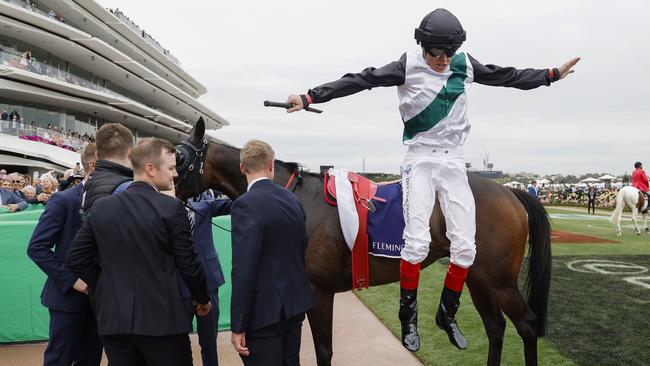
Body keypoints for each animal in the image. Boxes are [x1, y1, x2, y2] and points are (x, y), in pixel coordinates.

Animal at [175, 119, 548, 366]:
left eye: (179, 157)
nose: (165, 189)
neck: (294, 198)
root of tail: (510, 192)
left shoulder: (319, 292)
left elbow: (323, 351)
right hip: (477, 277)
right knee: (496, 328)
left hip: (498, 280)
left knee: (527, 326)